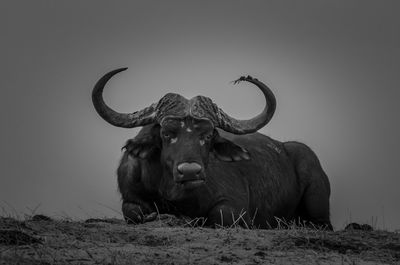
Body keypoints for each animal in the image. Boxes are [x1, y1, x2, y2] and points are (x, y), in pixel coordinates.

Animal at [92, 68, 332, 229]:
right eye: (167, 133)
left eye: (207, 136)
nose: (190, 171)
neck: (172, 191)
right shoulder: (130, 197)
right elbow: (133, 212)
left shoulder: (235, 207)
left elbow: (220, 215)